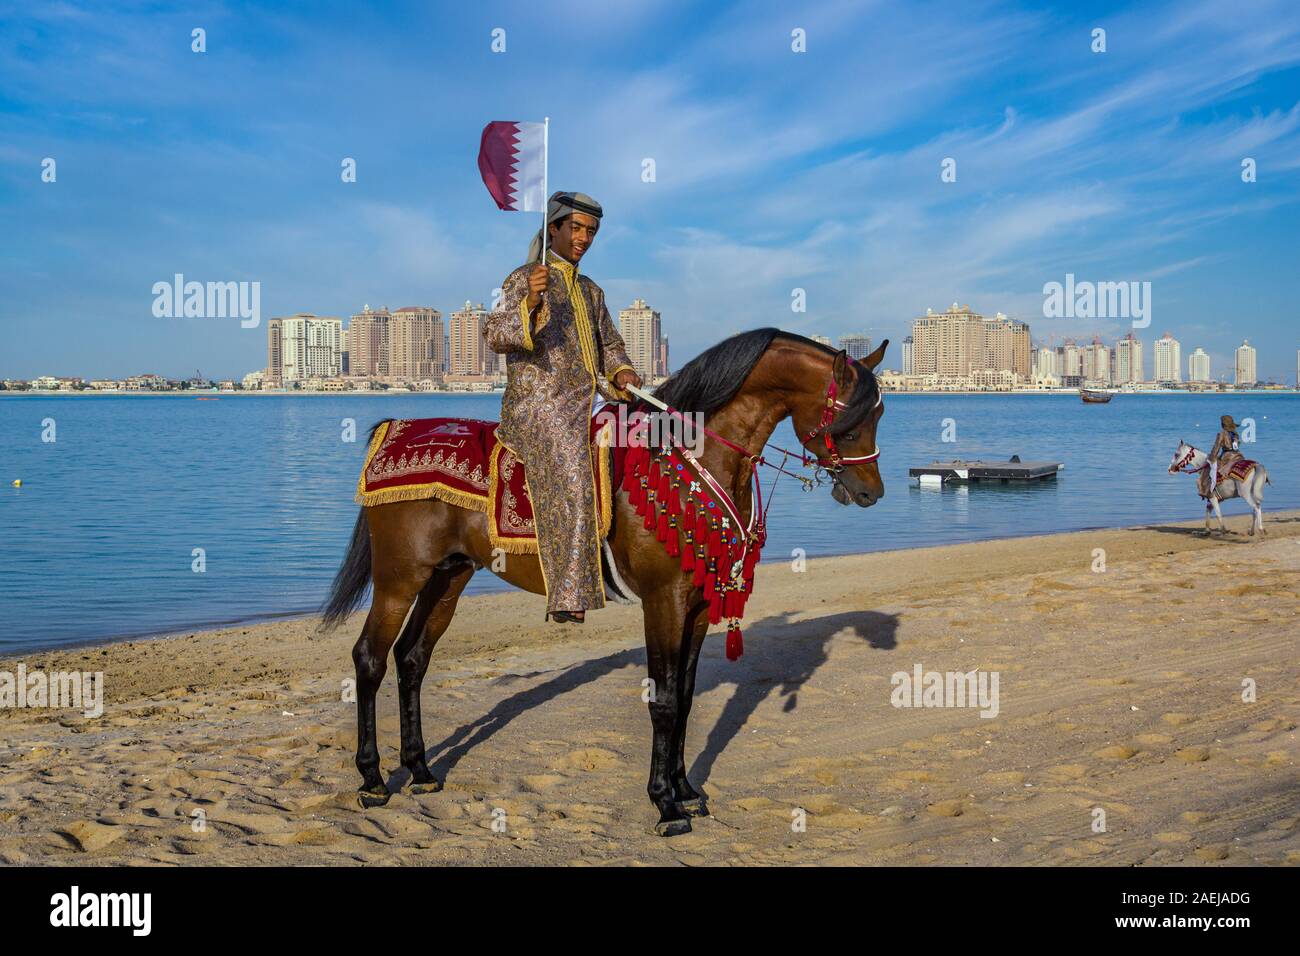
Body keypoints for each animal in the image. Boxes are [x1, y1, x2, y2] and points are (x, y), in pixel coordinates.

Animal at [321, 330, 889, 837]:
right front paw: (665, 804)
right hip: (400, 580)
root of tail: (393, 428)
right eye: (850, 419)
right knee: (370, 659)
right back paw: (373, 779)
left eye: (879, 416)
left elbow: (685, 698)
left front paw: (686, 790)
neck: (691, 458)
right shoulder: (663, 602)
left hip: (448, 577)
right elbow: (663, 700)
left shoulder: (698, 606)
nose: (870, 492)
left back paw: (419, 770)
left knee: (411, 659)